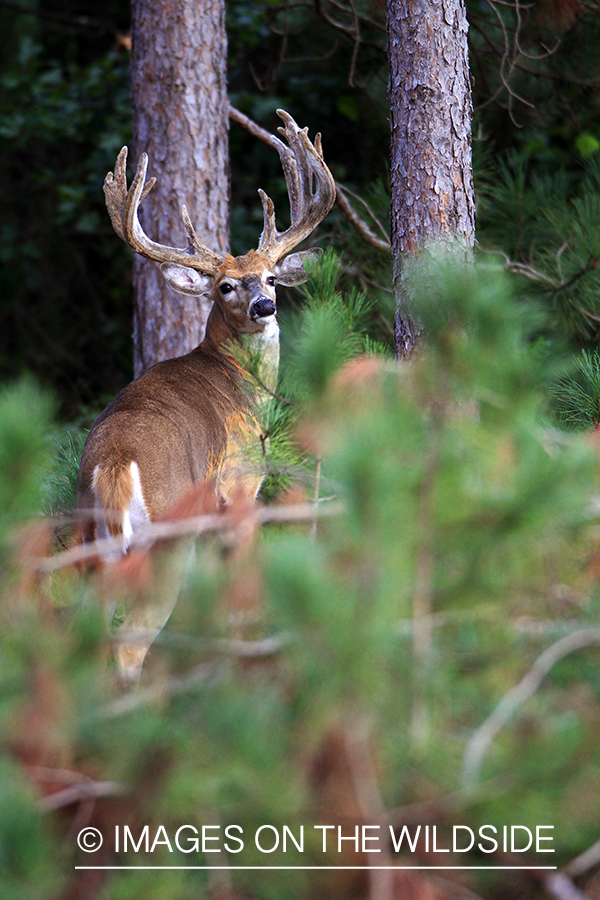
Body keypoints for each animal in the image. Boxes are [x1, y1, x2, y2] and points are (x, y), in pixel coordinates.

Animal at [77, 109, 336, 680]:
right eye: (225, 286)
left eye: (270, 278)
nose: (264, 306)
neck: (239, 385)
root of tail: (113, 465)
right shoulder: (238, 487)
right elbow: (241, 604)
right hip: (166, 537)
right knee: (130, 640)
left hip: (87, 541)